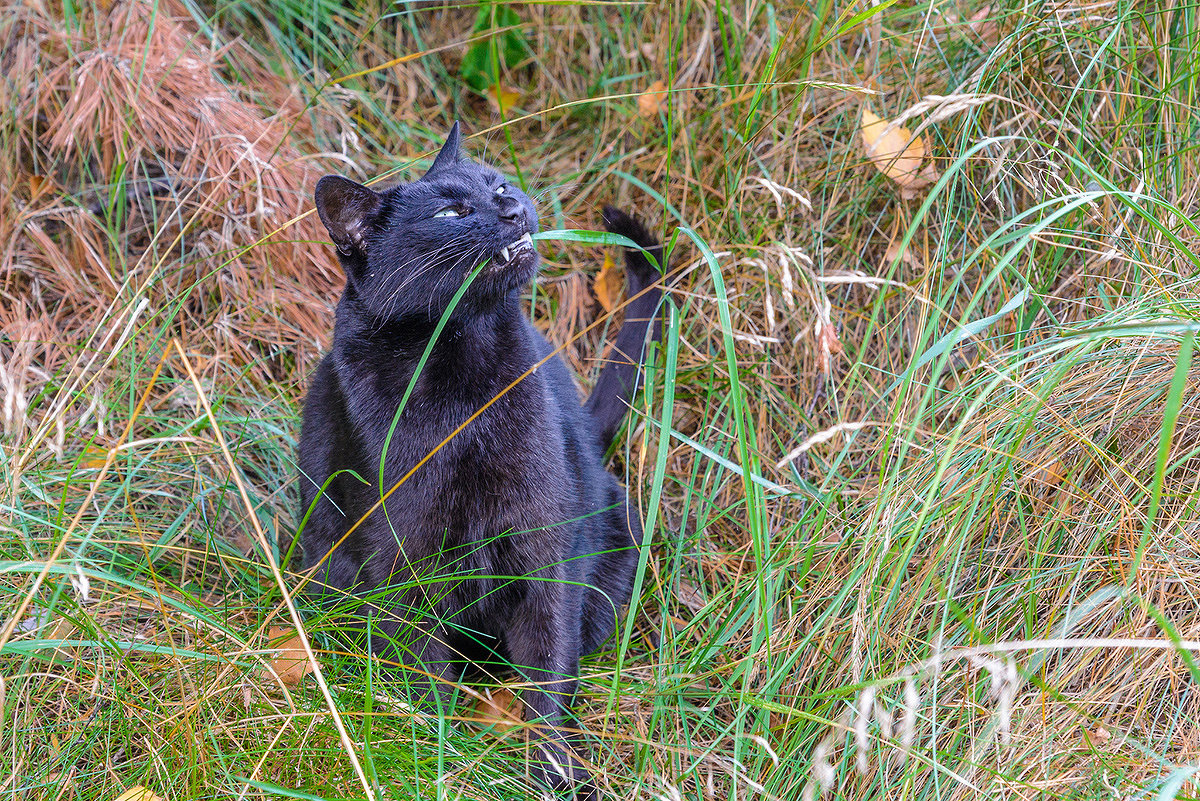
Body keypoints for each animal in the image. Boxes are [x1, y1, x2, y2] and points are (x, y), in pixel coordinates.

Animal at [294, 122, 662, 796]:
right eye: (450, 212)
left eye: (498, 185)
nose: (512, 207)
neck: (463, 385)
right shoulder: (404, 566)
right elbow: (426, 678)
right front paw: (435, 761)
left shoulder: (545, 554)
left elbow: (548, 675)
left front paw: (553, 772)